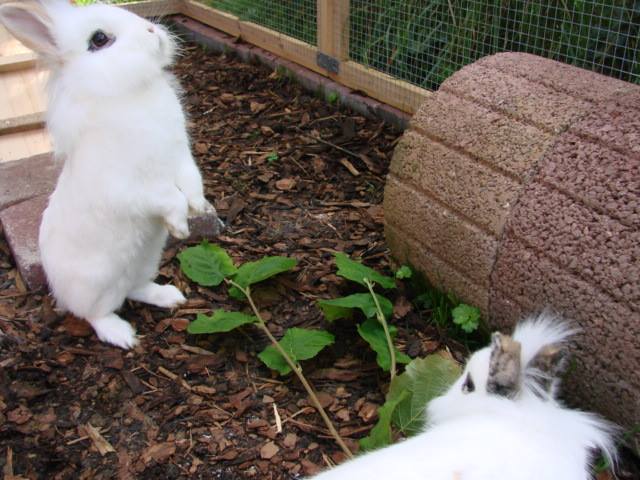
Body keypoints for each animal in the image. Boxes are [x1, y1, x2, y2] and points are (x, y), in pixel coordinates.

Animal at [0, 0, 221, 349]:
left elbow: (191, 180)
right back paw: (123, 336)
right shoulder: (131, 186)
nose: (152, 30)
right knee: (95, 314)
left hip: (146, 261)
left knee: (136, 288)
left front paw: (199, 207)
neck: (130, 93)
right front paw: (180, 226)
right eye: (99, 39)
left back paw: (170, 297)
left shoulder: (180, 156)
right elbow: (167, 197)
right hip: (96, 284)